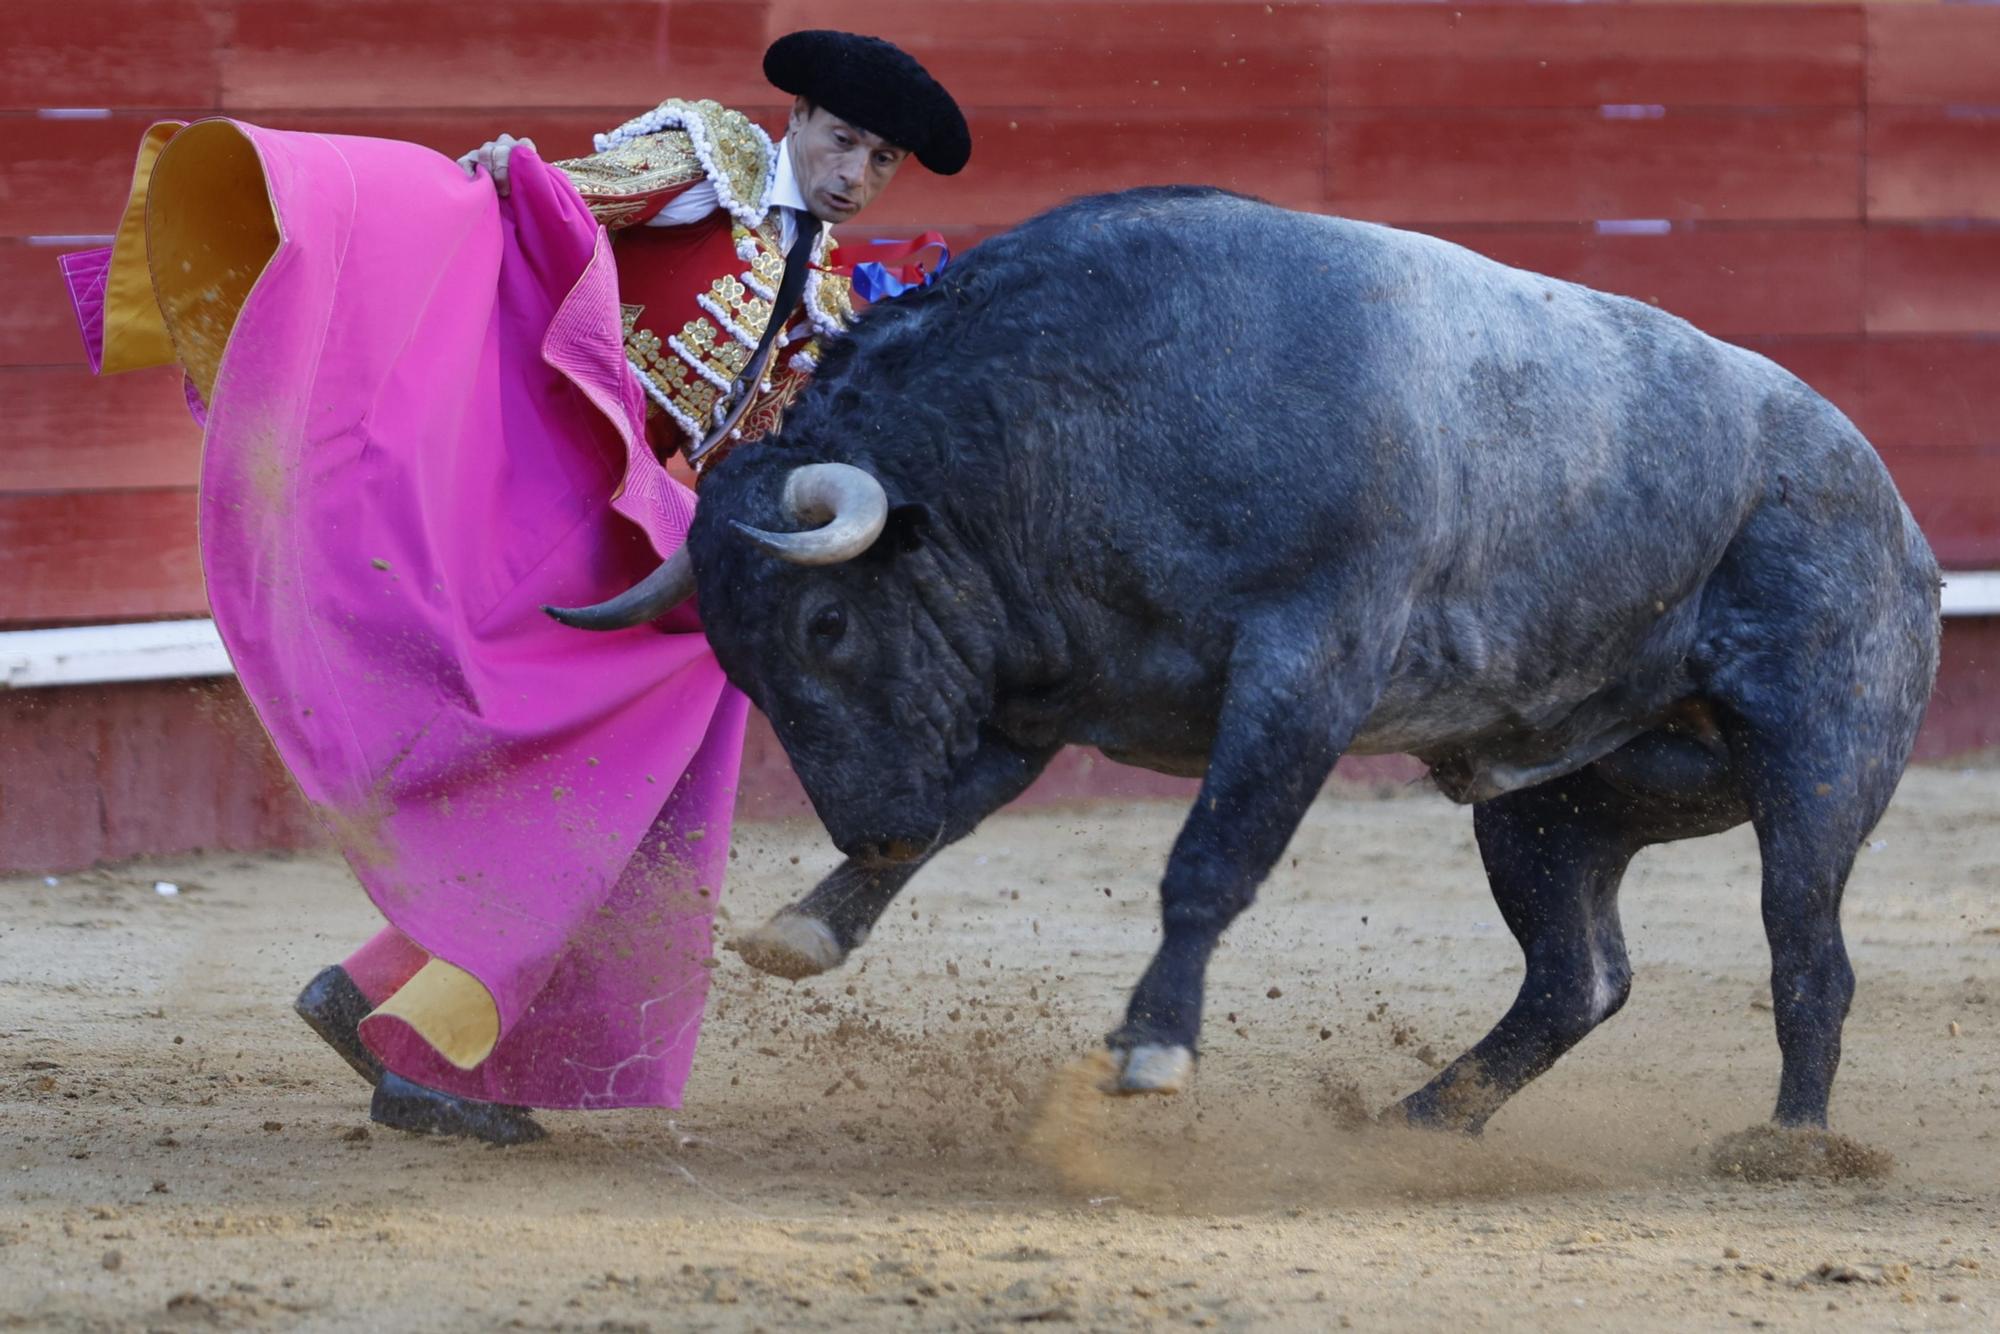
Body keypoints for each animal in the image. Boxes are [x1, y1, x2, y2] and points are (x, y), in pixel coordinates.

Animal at [548, 188, 1936, 1136]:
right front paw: (806, 927)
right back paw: (1422, 1117)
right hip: (1557, 803)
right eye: (738, 664)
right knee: (1576, 977)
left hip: (1816, 756)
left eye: (824, 627)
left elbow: (1207, 861)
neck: (1079, 419)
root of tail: (1894, 514)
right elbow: (964, 806)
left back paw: (1788, 1140)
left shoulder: (1301, 675)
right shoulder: (1030, 686)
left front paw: (1150, 1048)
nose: (869, 820)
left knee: (1803, 946)